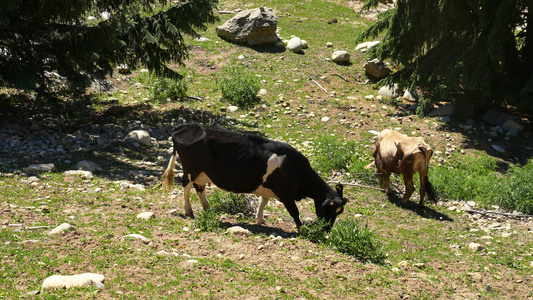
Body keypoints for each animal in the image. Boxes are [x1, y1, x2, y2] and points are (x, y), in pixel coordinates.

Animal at [161, 122, 344, 230]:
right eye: (330, 209)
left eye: (339, 213)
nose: (327, 229)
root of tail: (184, 127)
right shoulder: (285, 193)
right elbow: (294, 211)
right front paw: (300, 227)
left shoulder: (269, 187)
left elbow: (264, 202)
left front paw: (260, 219)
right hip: (191, 169)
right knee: (186, 187)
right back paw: (188, 211)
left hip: (202, 173)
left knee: (199, 188)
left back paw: (207, 209)